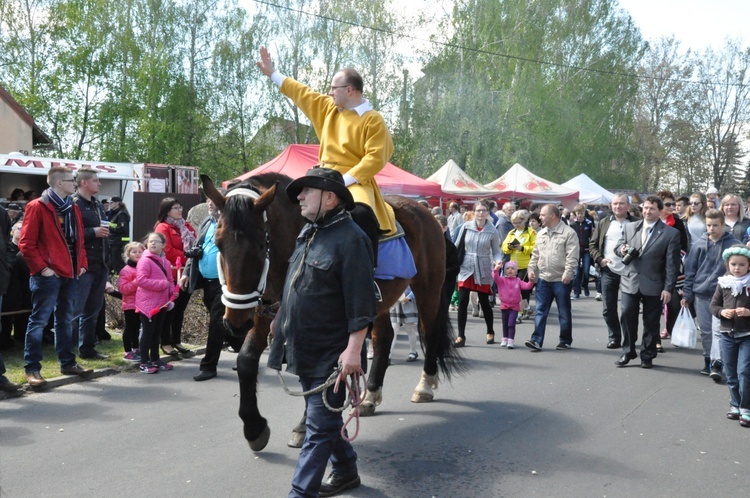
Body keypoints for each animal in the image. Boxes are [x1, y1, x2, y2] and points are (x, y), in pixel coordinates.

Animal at [206, 172, 464, 452]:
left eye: (258, 243)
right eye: (218, 243)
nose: (235, 324)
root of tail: (424, 212)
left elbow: (316, 369)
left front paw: (303, 426)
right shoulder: (265, 311)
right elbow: (246, 360)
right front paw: (254, 428)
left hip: (428, 289)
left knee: (430, 333)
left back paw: (424, 386)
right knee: (384, 338)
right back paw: (370, 396)